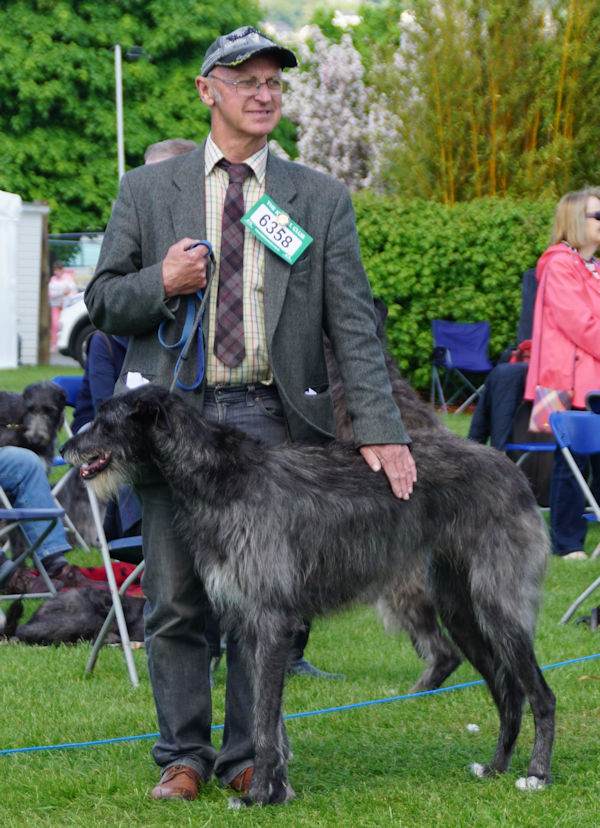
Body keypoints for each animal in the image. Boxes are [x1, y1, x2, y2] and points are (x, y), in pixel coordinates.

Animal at [63, 388, 556, 808]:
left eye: (104, 420)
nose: (65, 450)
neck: (222, 477)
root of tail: (511, 469)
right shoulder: (251, 624)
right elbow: (270, 720)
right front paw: (277, 790)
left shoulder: (272, 617)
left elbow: (263, 723)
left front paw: (257, 796)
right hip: (461, 610)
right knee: (509, 692)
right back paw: (495, 767)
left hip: (499, 604)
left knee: (541, 694)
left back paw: (536, 774)